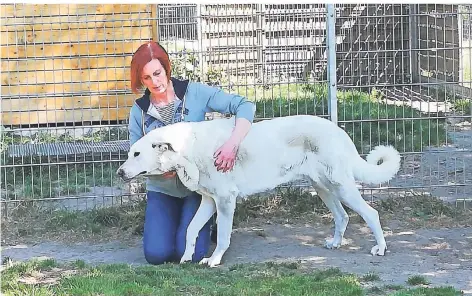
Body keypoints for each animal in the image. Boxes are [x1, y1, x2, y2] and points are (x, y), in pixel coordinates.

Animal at [116, 115, 400, 268]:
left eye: (137, 154)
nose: (119, 172)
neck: (186, 149)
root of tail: (339, 130)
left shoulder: (225, 201)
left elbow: (223, 237)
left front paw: (214, 260)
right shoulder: (208, 201)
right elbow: (190, 230)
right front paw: (186, 257)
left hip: (340, 186)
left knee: (371, 213)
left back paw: (380, 248)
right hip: (323, 188)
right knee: (342, 216)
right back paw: (336, 243)